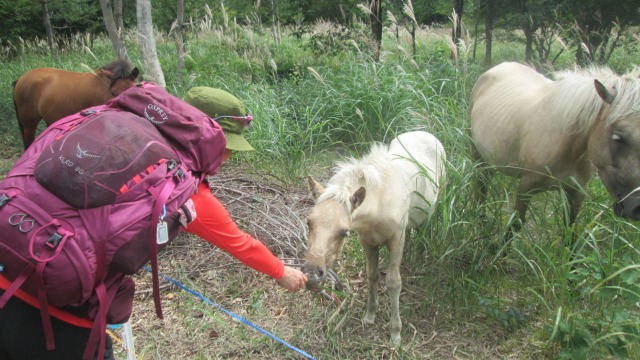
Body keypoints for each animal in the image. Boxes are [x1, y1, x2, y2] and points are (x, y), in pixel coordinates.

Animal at [302, 131, 444, 344]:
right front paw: (370, 316)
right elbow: (372, 275)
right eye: (309, 222)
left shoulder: (396, 239)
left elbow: (393, 282)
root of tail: (425, 132)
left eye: (344, 232)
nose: (311, 275)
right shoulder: (367, 242)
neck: (379, 204)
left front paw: (395, 333)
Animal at [468, 62, 640, 245]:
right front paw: (498, 250)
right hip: (478, 156)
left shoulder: (576, 192)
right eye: (618, 137)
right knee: (481, 187)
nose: (637, 208)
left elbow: (570, 230)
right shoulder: (526, 186)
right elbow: (516, 222)